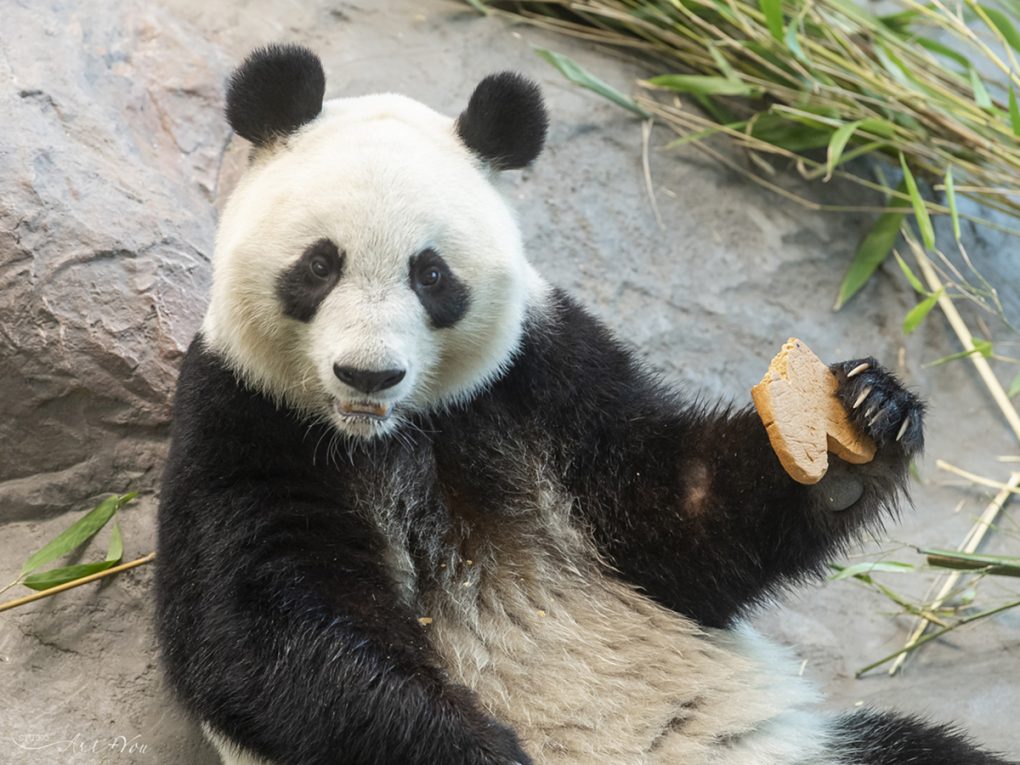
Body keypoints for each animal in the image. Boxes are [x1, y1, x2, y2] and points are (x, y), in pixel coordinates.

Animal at [155, 44, 1015, 765]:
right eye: (319, 265)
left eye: (430, 275)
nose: (369, 375)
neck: (396, 434)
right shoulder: (243, 418)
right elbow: (261, 632)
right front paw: (481, 751)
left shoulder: (543, 376)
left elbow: (678, 527)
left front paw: (858, 420)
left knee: (927, 751)